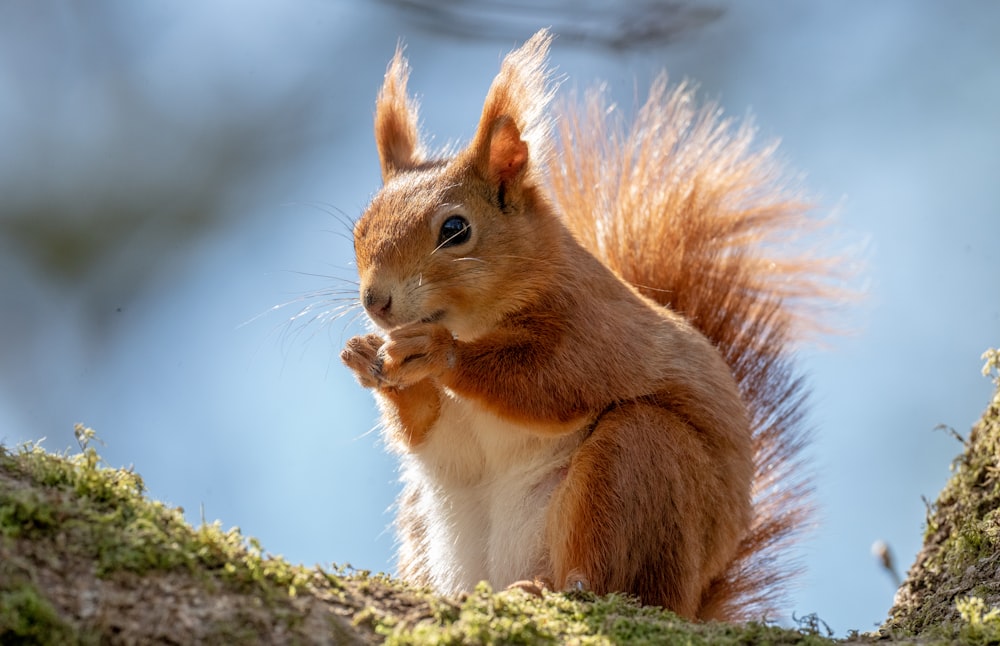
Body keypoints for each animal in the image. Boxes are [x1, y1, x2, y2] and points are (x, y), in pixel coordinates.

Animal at [340, 30, 832, 624]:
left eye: (455, 230)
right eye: (359, 230)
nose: (376, 302)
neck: (477, 320)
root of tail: (690, 598)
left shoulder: (596, 329)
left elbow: (552, 381)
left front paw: (438, 351)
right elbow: (428, 427)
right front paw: (368, 357)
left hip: (635, 465)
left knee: (604, 575)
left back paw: (549, 588)